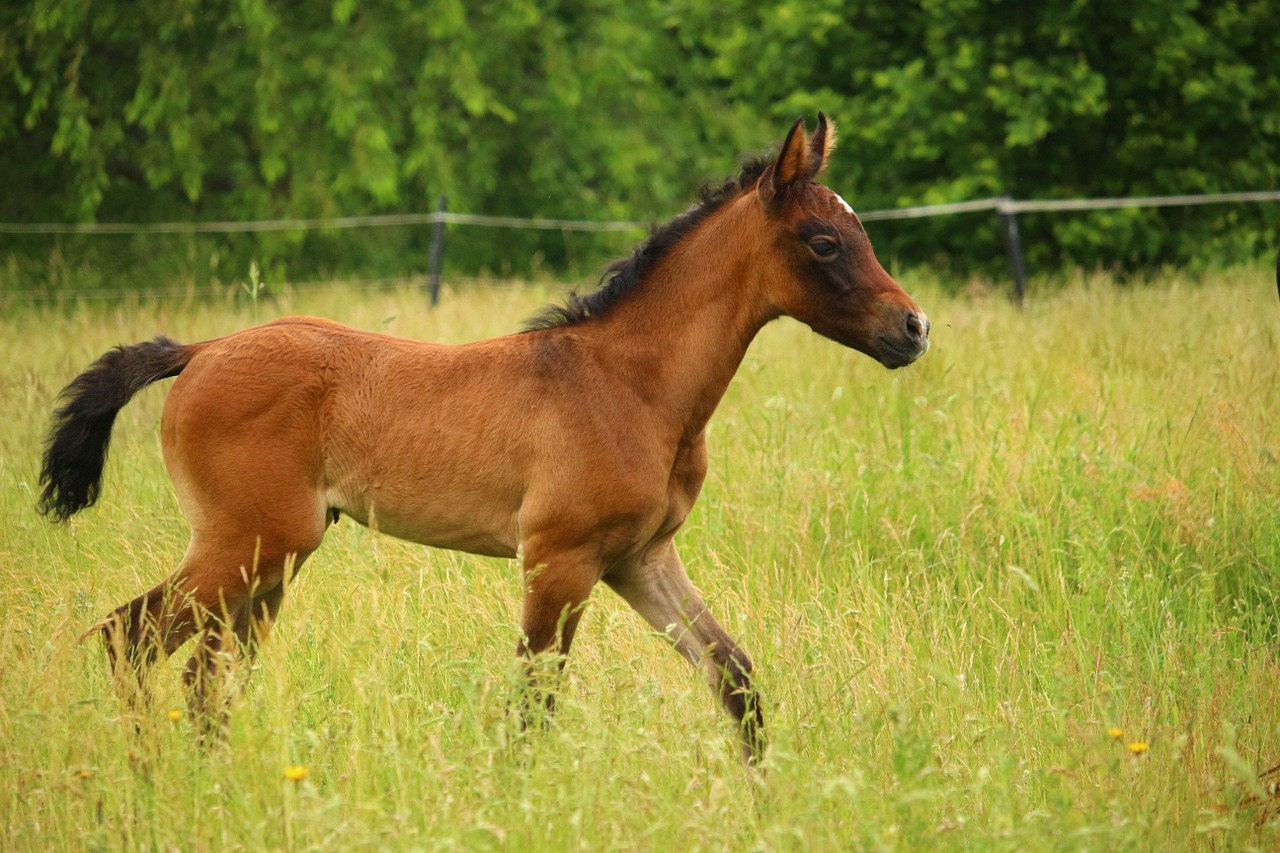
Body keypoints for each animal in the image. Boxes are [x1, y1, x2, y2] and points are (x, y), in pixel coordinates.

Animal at [40, 112, 931, 758]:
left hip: (272, 560)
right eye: (824, 241)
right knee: (129, 639)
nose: (913, 329)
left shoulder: (640, 558)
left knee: (202, 673)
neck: (627, 384)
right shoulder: (560, 560)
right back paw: (146, 775)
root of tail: (199, 350)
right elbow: (535, 700)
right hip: (247, 545)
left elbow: (733, 674)